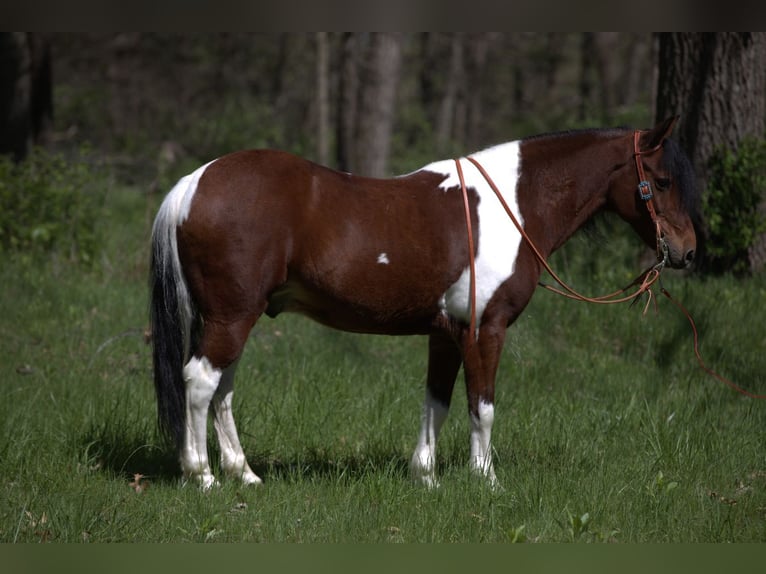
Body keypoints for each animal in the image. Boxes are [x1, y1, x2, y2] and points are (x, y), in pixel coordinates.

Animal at [150, 116, 699, 489]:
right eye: (662, 181)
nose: (688, 250)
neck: (513, 206)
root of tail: (192, 184)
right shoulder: (485, 329)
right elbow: (483, 406)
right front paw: (486, 480)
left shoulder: (446, 333)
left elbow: (437, 401)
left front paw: (426, 477)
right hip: (231, 317)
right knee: (201, 381)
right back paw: (202, 476)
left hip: (231, 319)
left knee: (222, 389)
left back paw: (244, 474)